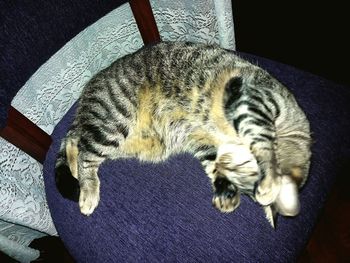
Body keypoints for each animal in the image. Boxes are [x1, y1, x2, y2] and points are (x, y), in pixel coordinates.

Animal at [55, 41, 312, 227]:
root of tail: (90, 87)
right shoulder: (252, 103)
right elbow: (264, 144)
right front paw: (267, 183)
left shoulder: (203, 143)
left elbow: (212, 164)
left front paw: (226, 195)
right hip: (115, 119)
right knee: (85, 153)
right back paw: (87, 191)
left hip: (127, 142)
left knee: (76, 141)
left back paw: (74, 168)